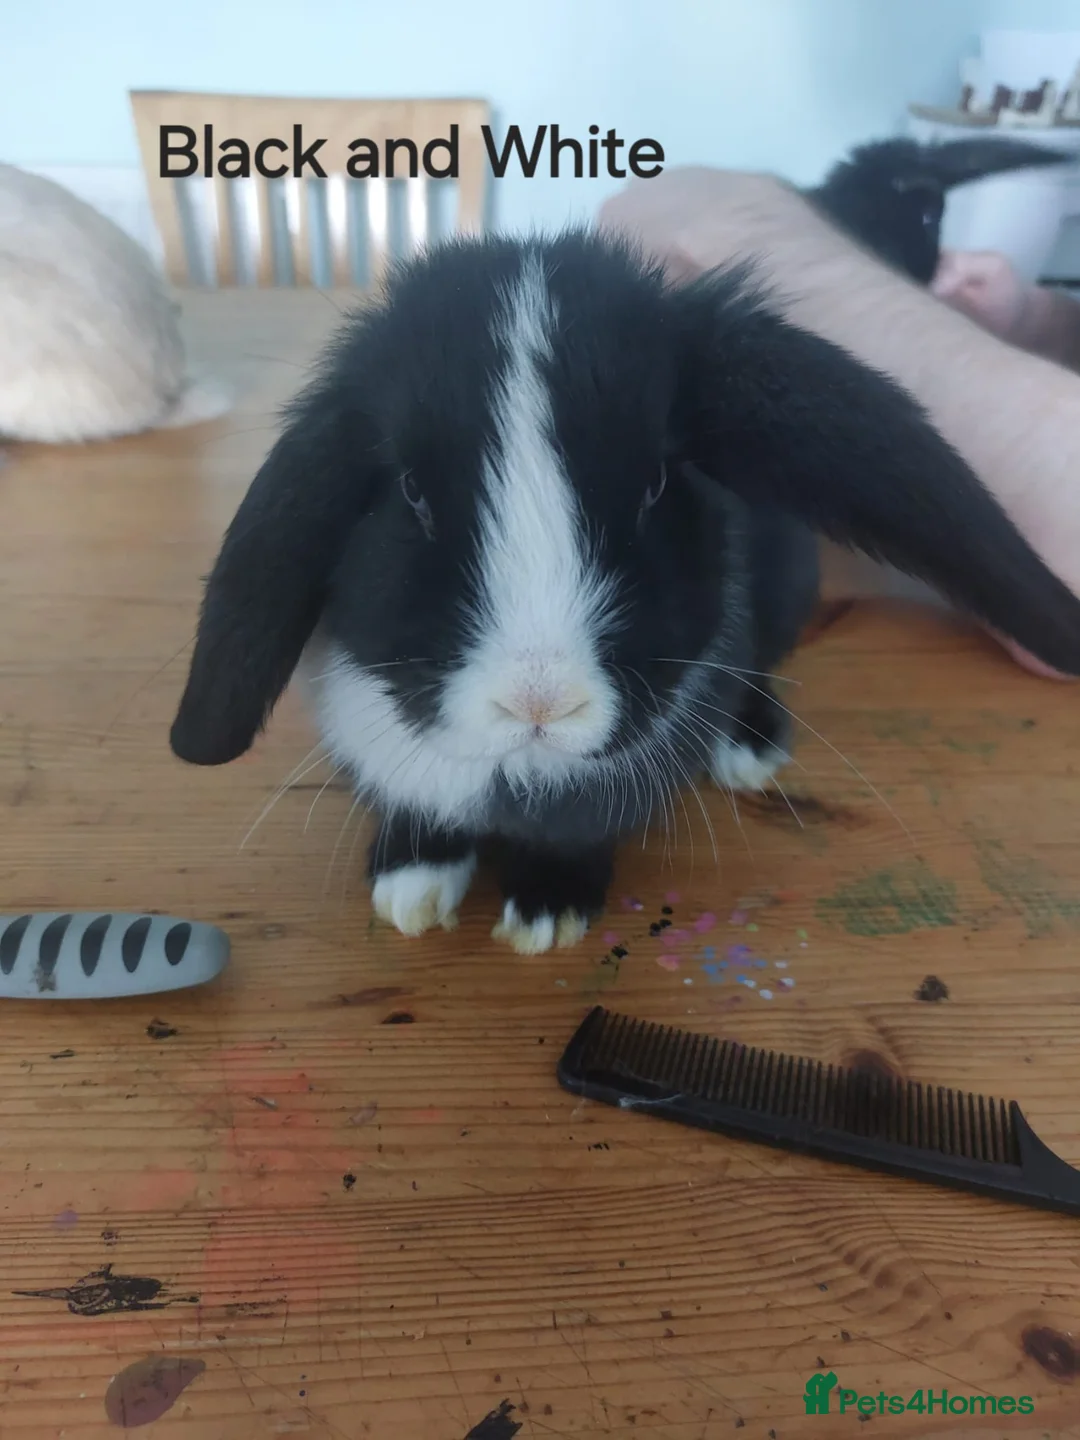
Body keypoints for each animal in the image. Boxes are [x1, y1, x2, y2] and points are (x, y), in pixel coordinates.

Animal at [168, 229, 1080, 953]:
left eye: (655, 484)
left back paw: (749, 750)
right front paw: (408, 887)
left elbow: (579, 843)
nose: (539, 703)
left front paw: (547, 913)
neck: (519, 778)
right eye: (412, 492)